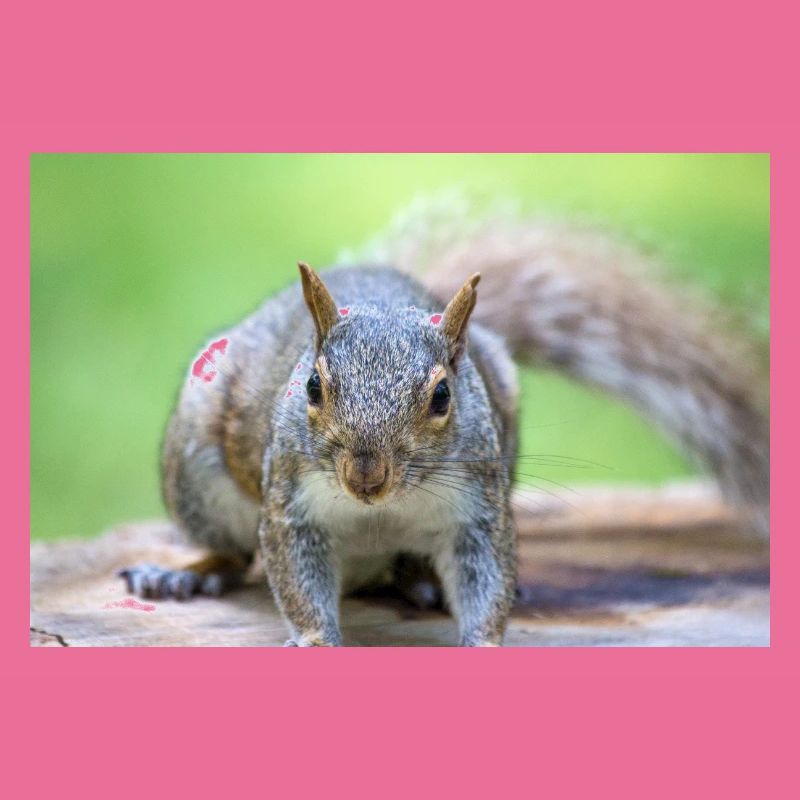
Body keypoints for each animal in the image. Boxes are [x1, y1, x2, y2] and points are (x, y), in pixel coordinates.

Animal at [119, 205, 769, 647]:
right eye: (312, 387)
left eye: (441, 396)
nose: (366, 476)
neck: (379, 511)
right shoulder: (290, 502)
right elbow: (295, 578)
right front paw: (313, 639)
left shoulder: (477, 510)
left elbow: (485, 577)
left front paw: (484, 637)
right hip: (197, 474)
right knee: (231, 553)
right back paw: (181, 576)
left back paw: (420, 581)